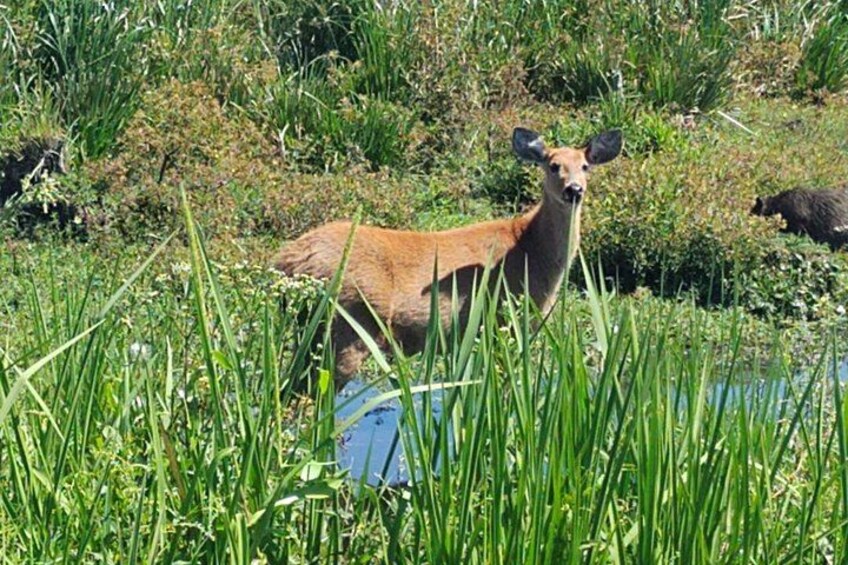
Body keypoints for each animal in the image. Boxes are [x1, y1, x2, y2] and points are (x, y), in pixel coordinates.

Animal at [273, 127, 622, 389]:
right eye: (552, 165)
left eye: (585, 166)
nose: (574, 189)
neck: (530, 252)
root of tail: (287, 262)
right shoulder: (503, 322)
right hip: (349, 320)